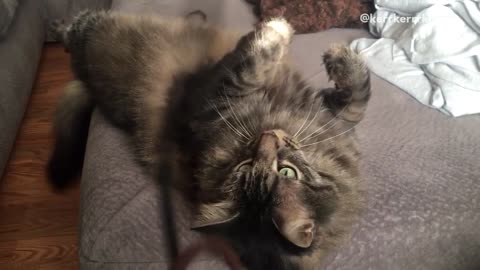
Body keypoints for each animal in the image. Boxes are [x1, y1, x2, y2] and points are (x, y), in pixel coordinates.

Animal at [48, 10, 372, 270]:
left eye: (285, 172)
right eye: (244, 167)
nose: (267, 137)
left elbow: (251, 66)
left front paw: (291, 37)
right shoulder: (216, 96)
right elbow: (357, 96)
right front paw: (293, 38)